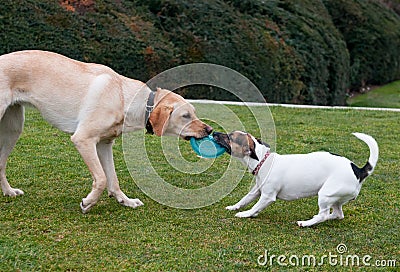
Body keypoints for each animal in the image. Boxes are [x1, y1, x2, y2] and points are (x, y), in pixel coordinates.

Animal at [0, 50, 212, 212]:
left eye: (194, 113)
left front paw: (125, 200)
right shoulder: (83, 140)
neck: (124, 97)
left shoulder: (104, 145)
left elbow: (113, 179)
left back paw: (9, 192)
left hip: (13, 129)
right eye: (186, 115)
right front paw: (88, 202)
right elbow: (101, 178)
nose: (209, 129)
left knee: (1, 164)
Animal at [212, 131, 378, 226]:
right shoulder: (256, 191)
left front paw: (245, 214)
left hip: (325, 194)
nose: (214, 132)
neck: (263, 161)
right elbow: (245, 200)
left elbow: (254, 206)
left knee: (323, 214)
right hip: (335, 198)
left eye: (230, 137)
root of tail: (358, 170)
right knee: (337, 214)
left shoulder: (267, 196)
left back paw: (306, 223)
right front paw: (235, 207)